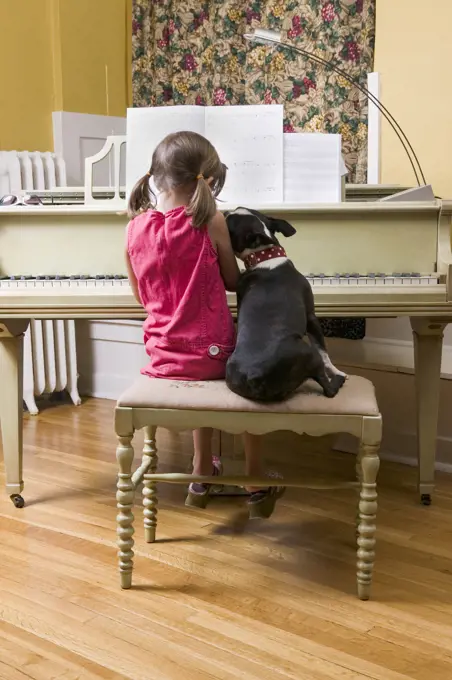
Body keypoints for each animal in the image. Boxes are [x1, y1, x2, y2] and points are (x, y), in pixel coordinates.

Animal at [225, 207, 346, 404]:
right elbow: (323, 350)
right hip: (308, 353)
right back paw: (338, 379)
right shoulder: (311, 317)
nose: (225, 212)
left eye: (230, 221)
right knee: (328, 388)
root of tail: (253, 376)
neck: (265, 257)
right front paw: (336, 370)